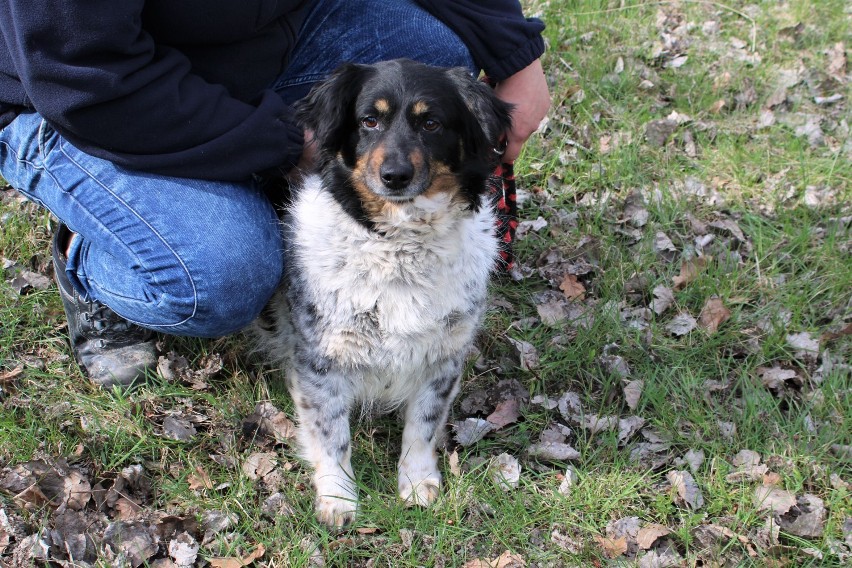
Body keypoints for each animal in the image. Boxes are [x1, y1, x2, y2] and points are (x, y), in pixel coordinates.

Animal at [253, 58, 512, 528]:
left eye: (431, 123)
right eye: (369, 120)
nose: (394, 176)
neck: (400, 250)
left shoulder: (443, 356)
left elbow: (422, 426)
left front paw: (417, 481)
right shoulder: (321, 360)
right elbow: (331, 434)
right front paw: (338, 497)